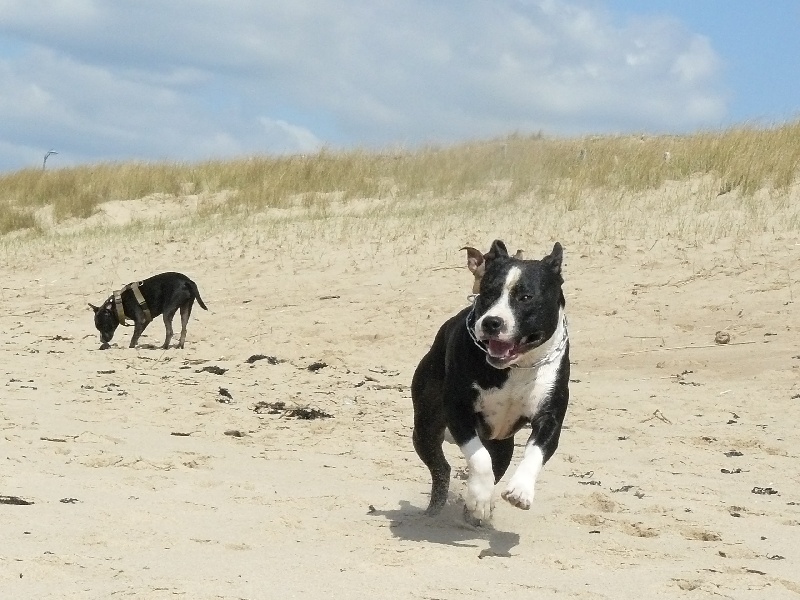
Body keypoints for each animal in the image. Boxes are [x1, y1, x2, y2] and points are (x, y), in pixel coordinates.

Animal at [412, 241, 568, 524]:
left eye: (525, 297)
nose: (492, 322)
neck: (515, 367)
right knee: (441, 467)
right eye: (487, 292)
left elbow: (535, 451)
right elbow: (479, 458)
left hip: (503, 444)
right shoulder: (459, 411)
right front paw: (480, 499)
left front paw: (520, 490)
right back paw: (438, 510)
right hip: (426, 426)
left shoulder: (550, 417)